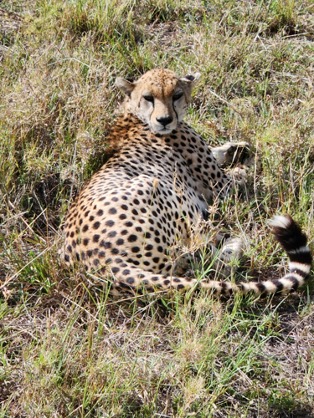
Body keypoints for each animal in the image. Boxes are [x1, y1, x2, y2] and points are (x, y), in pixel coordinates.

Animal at [60, 68, 312, 296]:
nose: (164, 120)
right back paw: (236, 243)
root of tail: (102, 262)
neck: (133, 114)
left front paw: (237, 148)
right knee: (206, 254)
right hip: (156, 186)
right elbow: (247, 176)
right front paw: (257, 161)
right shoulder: (222, 187)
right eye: (148, 97)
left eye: (177, 95)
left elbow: (220, 152)